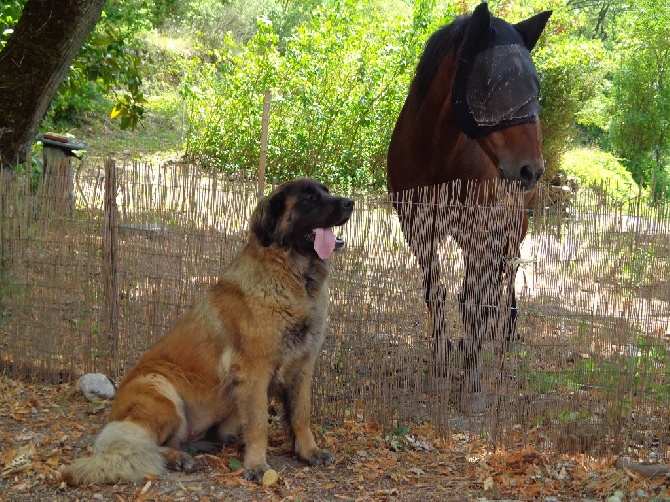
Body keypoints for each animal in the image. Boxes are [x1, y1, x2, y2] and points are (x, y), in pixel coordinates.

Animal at [61, 178, 356, 484]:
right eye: (309, 198)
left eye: (326, 191)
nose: (350, 203)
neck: (294, 278)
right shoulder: (254, 373)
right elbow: (259, 424)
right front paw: (257, 465)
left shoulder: (302, 368)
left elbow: (301, 415)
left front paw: (309, 452)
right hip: (160, 389)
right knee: (147, 444)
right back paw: (178, 458)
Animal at [388, 2, 552, 412]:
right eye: (492, 85)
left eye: (534, 88)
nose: (530, 169)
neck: (439, 157)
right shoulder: (418, 230)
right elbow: (436, 294)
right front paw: (441, 369)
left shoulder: (483, 234)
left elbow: (476, 303)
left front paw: (472, 384)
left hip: (510, 232)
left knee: (500, 287)